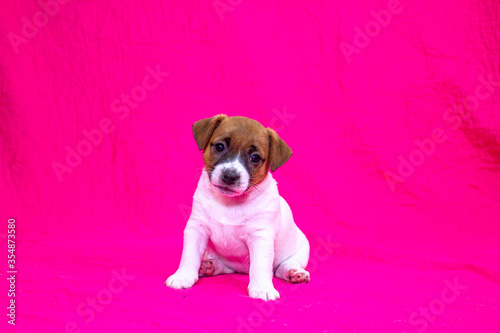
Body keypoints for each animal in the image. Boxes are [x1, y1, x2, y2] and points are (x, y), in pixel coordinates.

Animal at [166, 115, 310, 300]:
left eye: (255, 157)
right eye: (220, 146)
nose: (230, 176)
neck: (229, 202)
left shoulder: (260, 237)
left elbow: (260, 266)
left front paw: (262, 287)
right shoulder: (197, 228)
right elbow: (189, 255)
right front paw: (183, 276)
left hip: (300, 250)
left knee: (282, 268)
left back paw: (294, 273)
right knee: (226, 267)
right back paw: (210, 266)